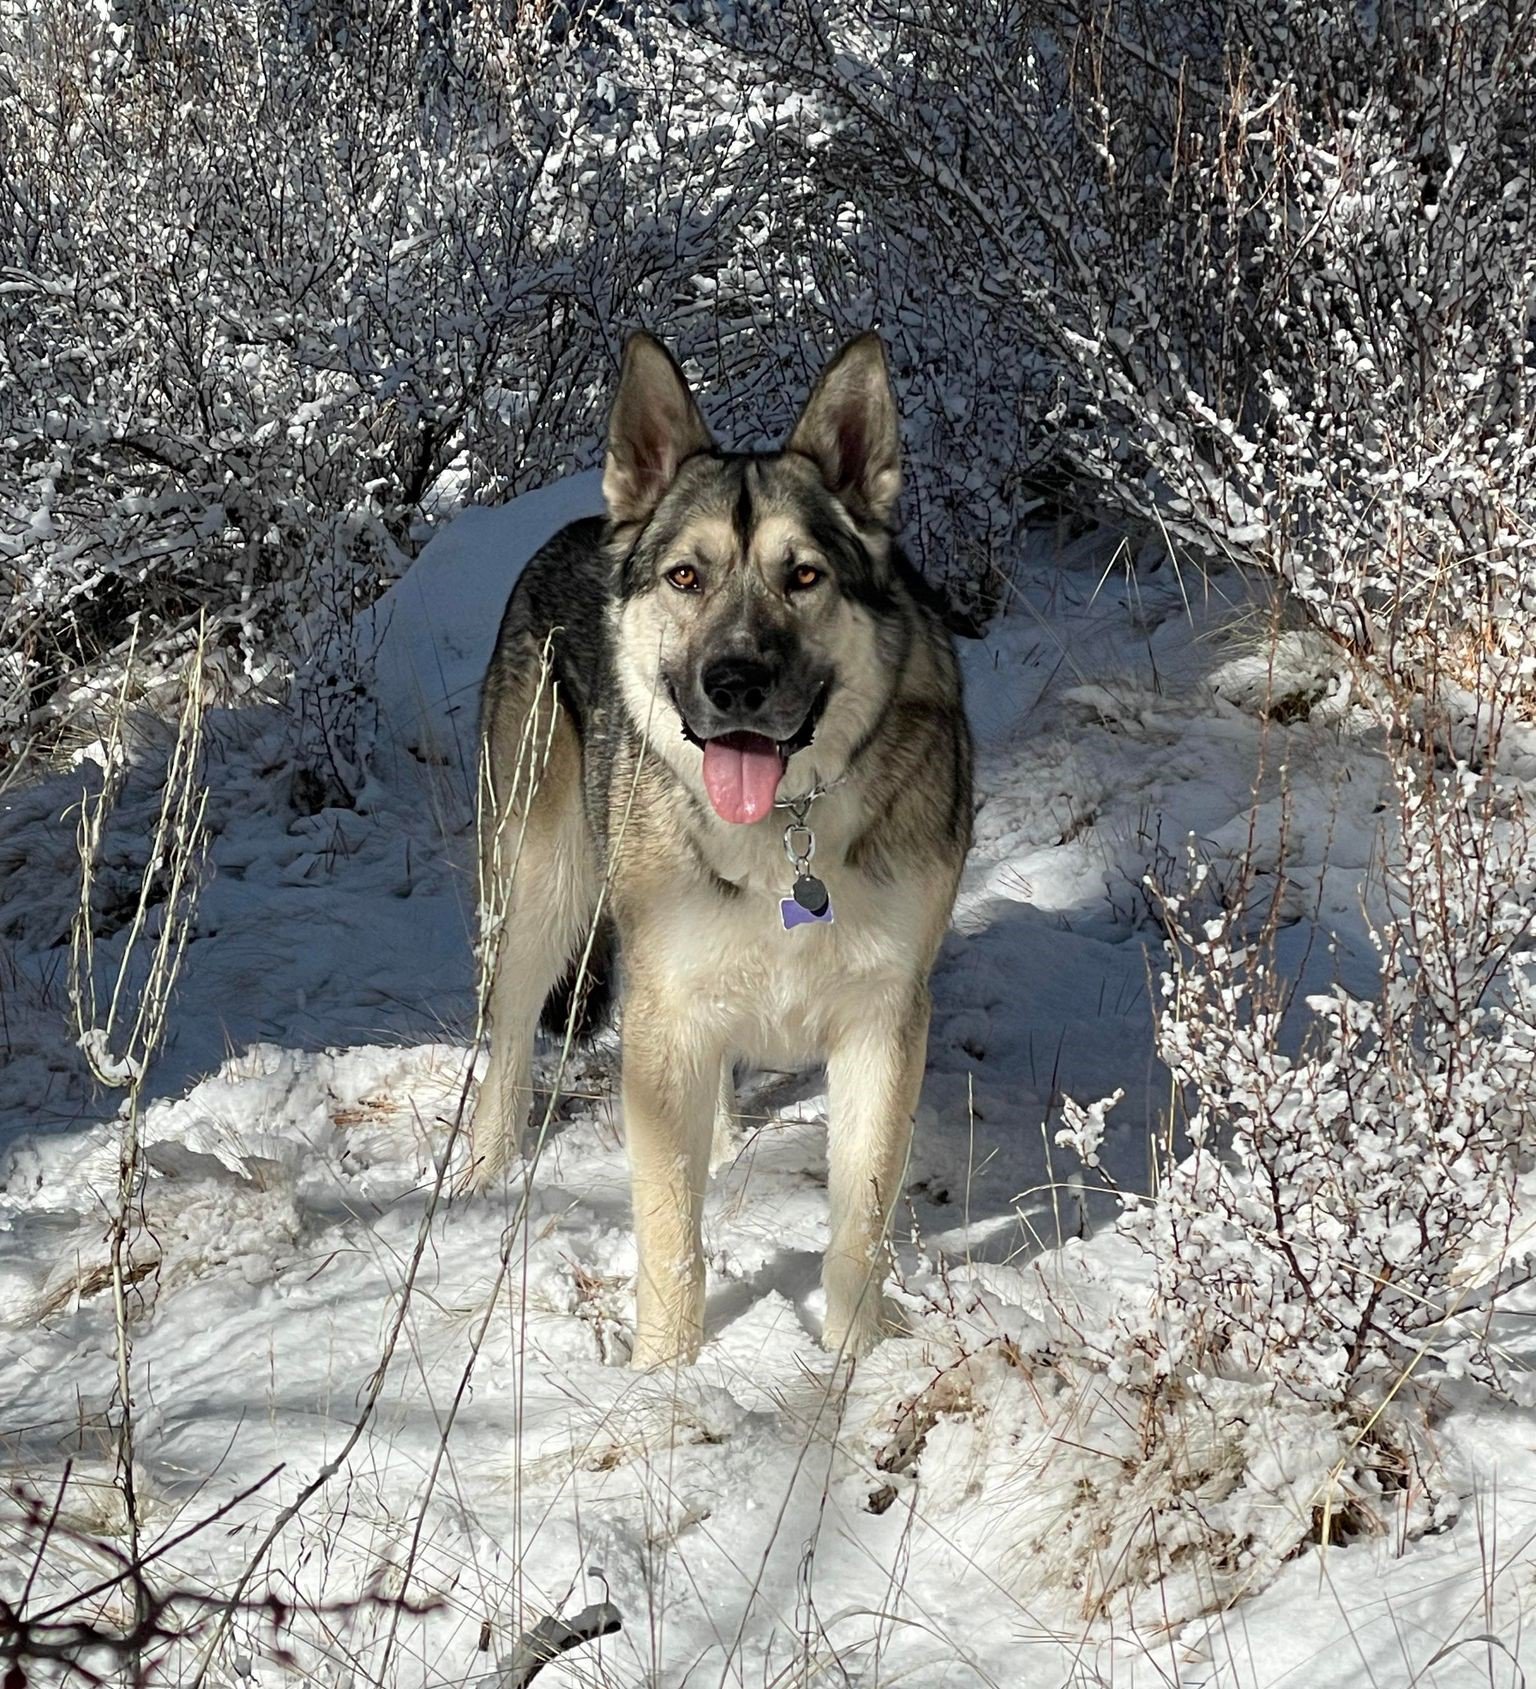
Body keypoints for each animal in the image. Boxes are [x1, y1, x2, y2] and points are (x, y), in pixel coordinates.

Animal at [469, 332, 973, 1371]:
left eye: (805, 576)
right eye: (686, 578)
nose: (734, 681)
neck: (786, 826)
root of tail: (581, 527)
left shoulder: (883, 1021)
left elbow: (858, 1223)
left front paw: (851, 1364)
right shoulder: (666, 1019)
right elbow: (670, 1230)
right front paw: (666, 1374)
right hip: (545, 895)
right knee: (510, 1037)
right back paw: (483, 1174)